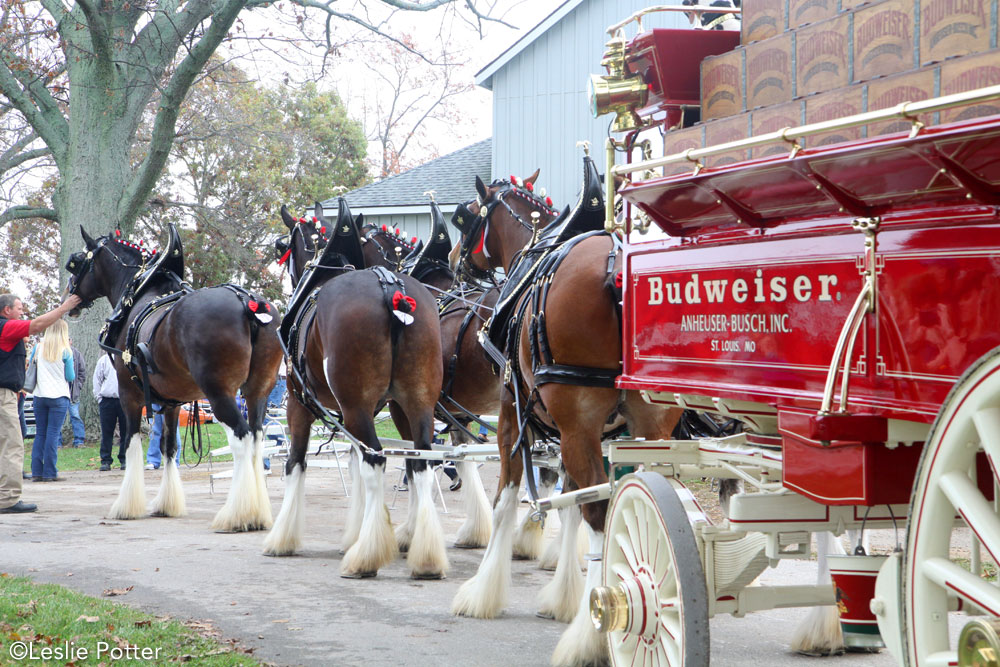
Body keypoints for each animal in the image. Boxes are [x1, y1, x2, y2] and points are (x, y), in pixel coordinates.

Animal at [65, 227, 286, 536]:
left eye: (75, 263)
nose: (69, 296)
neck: (141, 290)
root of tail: (247, 303)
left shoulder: (128, 394)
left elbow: (131, 442)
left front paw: (127, 505)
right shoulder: (172, 402)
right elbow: (169, 447)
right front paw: (167, 504)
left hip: (221, 394)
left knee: (241, 438)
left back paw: (238, 515)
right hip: (258, 392)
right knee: (256, 437)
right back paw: (257, 512)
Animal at [264, 201, 448, 580]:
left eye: (283, 245)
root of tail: (389, 288)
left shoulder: (299, 404)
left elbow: (295, 462)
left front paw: (283, 539)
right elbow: (354, 463)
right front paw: (356, 533)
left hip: (356, 407)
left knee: (377, 459)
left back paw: (366, 558)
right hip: (415, 404)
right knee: (419, 460)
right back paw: (424, 556)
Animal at [450, 170, 684, 664]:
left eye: (468, 217)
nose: (455, 258)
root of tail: (619, 266)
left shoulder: (511, 414)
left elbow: (507, 499)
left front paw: (481, 593)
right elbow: (571, 499)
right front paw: (564, 598)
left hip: (578, 424)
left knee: (601, 513)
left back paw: (593, 634)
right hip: (651, 426)